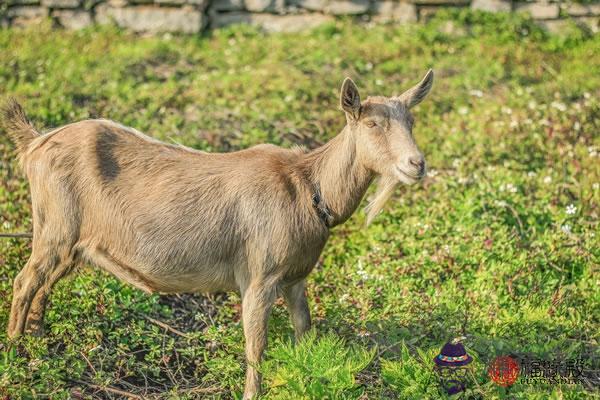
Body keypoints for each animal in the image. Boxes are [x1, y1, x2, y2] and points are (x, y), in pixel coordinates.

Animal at [0, 70, 432, 398]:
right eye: (372, 123)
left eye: (411, 122)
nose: (417, 163)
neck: (308, 188)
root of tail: (35, 143)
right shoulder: (259, 276)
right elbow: (256, 346)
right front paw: (252, 393)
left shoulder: (296, 278)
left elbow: (305, 331)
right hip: (55, 228)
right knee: (25, 281)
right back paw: (16, 353)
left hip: (72, 241)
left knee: (45, 284)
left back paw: (38, 342)